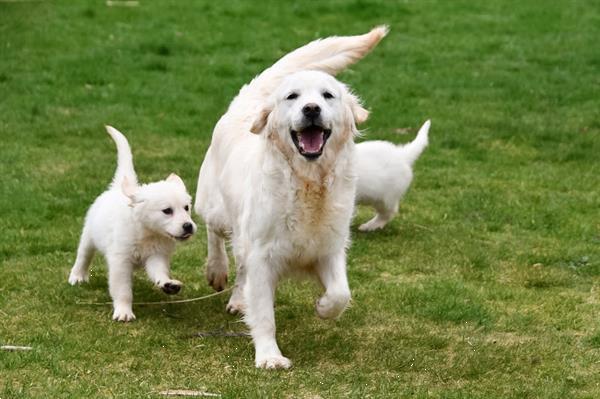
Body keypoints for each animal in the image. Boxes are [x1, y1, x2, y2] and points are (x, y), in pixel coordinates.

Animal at [68, 126, 196, 324]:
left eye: (186, 207)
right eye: (167, 210)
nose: (188, 226)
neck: (147, 232)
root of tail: (115, 188)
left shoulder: (156, 255)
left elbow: (159, 272)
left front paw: (167, 284)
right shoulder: (120, 261)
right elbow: (123, 290)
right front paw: (123, 311)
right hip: (89, 235)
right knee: (83, 256)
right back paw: (77, 276)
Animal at [195, 26, 386, 370]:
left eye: (327, 95)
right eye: (292, 97)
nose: (311, 109)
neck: (308, 182)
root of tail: (246, 102)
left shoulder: (329, 247)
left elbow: (342, 293)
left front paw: (323, 307)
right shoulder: (262, 253)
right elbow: (264, 315)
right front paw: (269, 357)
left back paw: (238, 299)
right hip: (216, 208)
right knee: (214, 233)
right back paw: (216, 271)